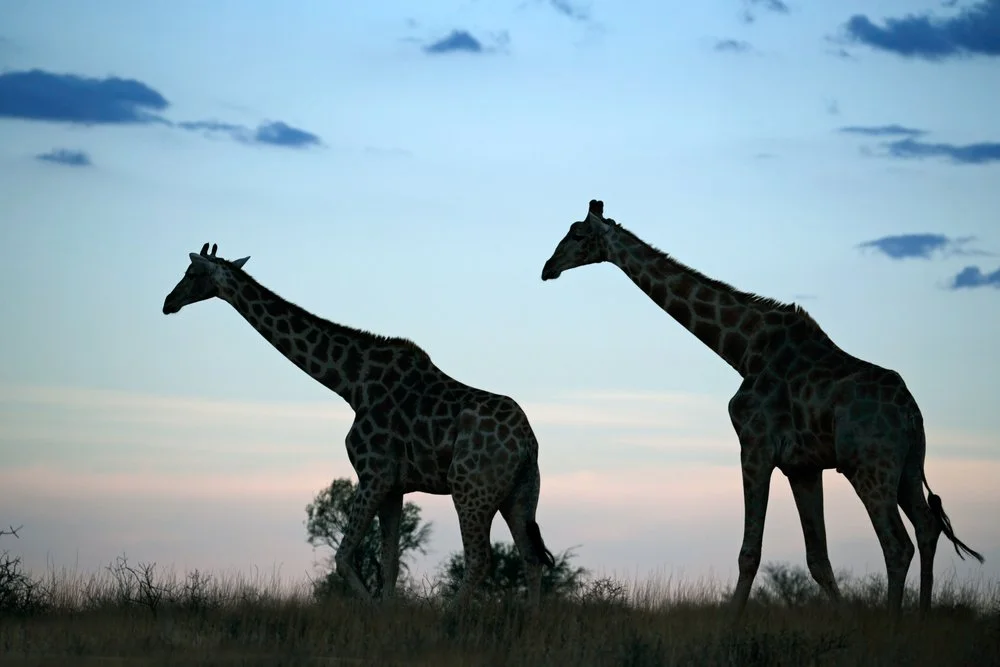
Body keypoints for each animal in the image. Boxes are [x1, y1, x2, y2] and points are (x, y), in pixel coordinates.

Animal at [162, 242, 556, 606]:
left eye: (192, 273)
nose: (168, 302)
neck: (351, 383)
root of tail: (527, 443)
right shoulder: (395, 485)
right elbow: (390, 561)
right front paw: (386, 613)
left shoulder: (373, 474)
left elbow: (343, 557)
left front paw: (371, 609)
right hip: (521, 493)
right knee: (531, 556)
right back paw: (530, 619)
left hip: (470, 490)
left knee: (480, 560)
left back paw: (450, 617)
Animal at [540, 199, 983, 621]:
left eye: (577, 234)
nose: (548, 268)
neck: (743, 350)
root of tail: (912, 414)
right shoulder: (803, 467)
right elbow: (818, 558)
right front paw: (849, 622)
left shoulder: (755, 446)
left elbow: (749, 552)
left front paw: (729, 627)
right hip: (907, 466)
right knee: (927, 528)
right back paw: (922, 619)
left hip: (869, 468)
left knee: (897, 544)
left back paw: (894, 626)